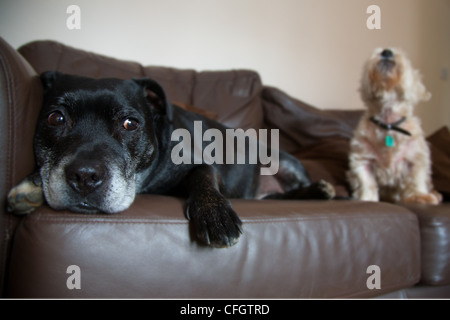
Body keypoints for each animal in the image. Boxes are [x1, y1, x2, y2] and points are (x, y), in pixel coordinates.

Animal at [7, 72, 334, 248]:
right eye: (55, 118)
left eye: (130, 124)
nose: (85, 176)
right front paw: (32, 185)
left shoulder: (199, 164)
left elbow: (204, 179)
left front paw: (216, 214)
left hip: (282, 160)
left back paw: (321, 189)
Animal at [350, 47, 442, 204]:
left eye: (404, 55)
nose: (386, 51)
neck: (388, 122)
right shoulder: (362, 157)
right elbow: (366, 182)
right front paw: (366, 198)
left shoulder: (416, 156)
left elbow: (416, 178)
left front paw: (419, 195)